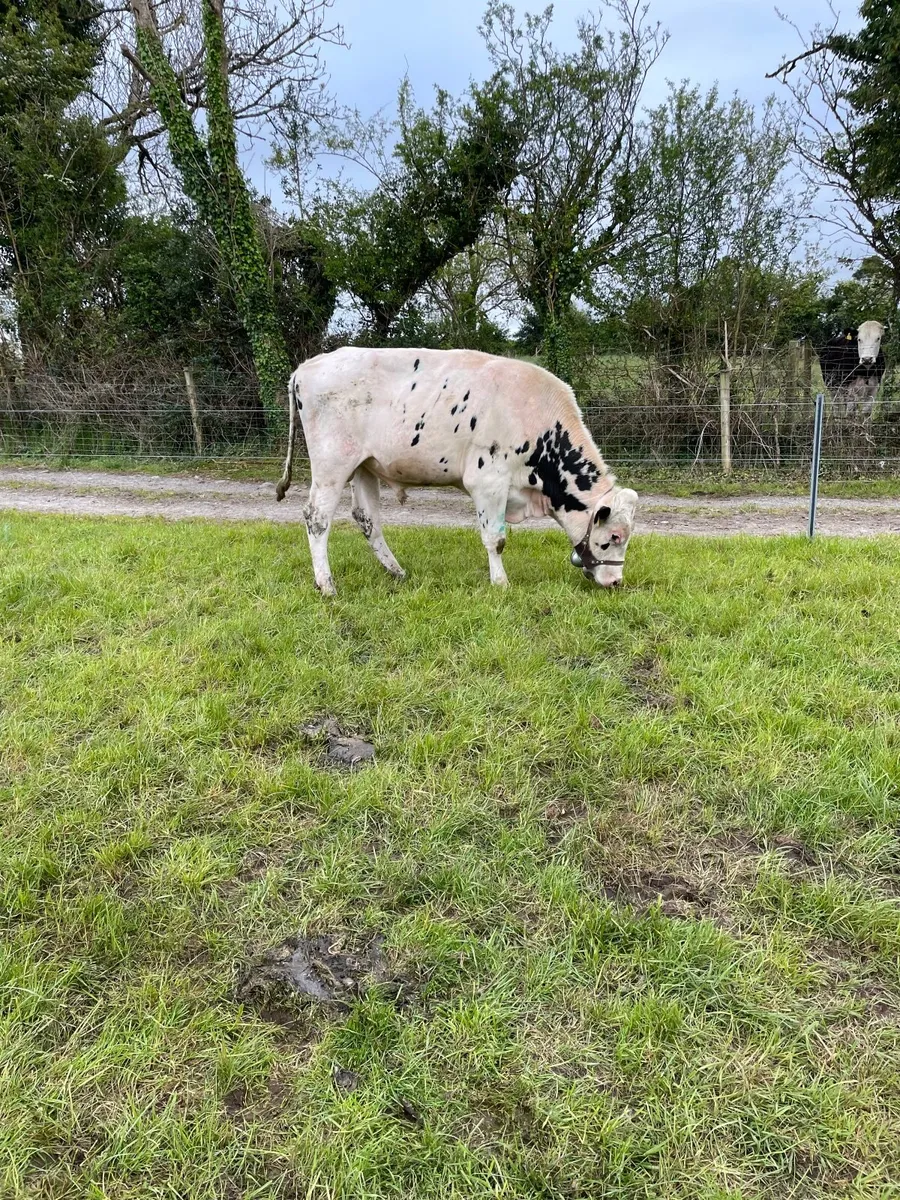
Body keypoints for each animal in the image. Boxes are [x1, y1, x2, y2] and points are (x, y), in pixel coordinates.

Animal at [275, 347, 638, 595]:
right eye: (615, 537)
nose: (616, 581)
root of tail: (308, 366)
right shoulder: (488, 481)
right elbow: (495, 539)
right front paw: (500, 583)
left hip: (365, 465)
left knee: (367, 520)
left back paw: (396, 572)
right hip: (332, 464)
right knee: (317, 517)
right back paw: (326, 584)